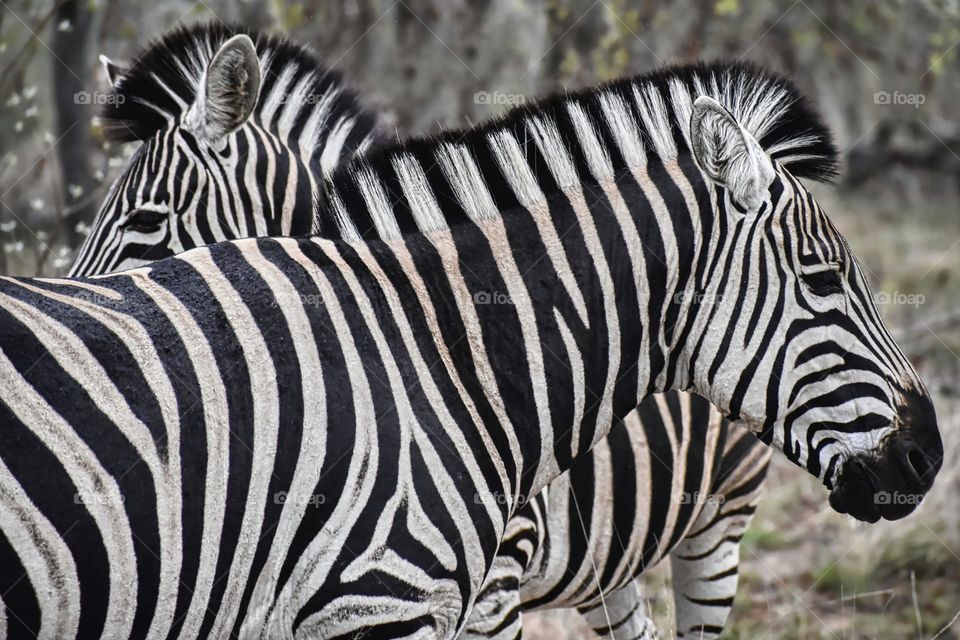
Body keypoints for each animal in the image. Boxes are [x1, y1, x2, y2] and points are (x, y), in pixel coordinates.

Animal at [0, 59, 942, 639]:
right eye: (823, 279)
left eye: (144, 223)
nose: (930, 455)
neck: (454, 351)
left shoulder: (479, 584)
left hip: (717, 523)